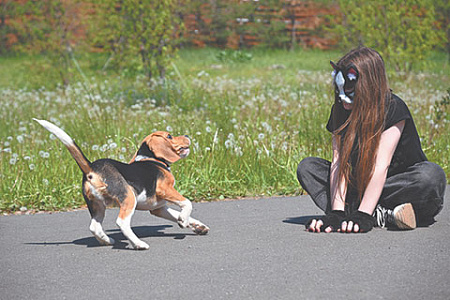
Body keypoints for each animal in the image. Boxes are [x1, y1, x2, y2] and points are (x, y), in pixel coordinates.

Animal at [33, 118, 209, 250]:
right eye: (170, 136)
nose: (187, 134)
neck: (151, 159)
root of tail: (91, 168)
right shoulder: (165, 189)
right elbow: (187, 203)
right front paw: (184, 220)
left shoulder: (158, 208)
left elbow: (179, 214)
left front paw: (197, 225)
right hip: (129, 197)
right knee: (122, 222)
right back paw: (138, 244)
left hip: (97, 205)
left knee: (94, 226)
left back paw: (107, 241)